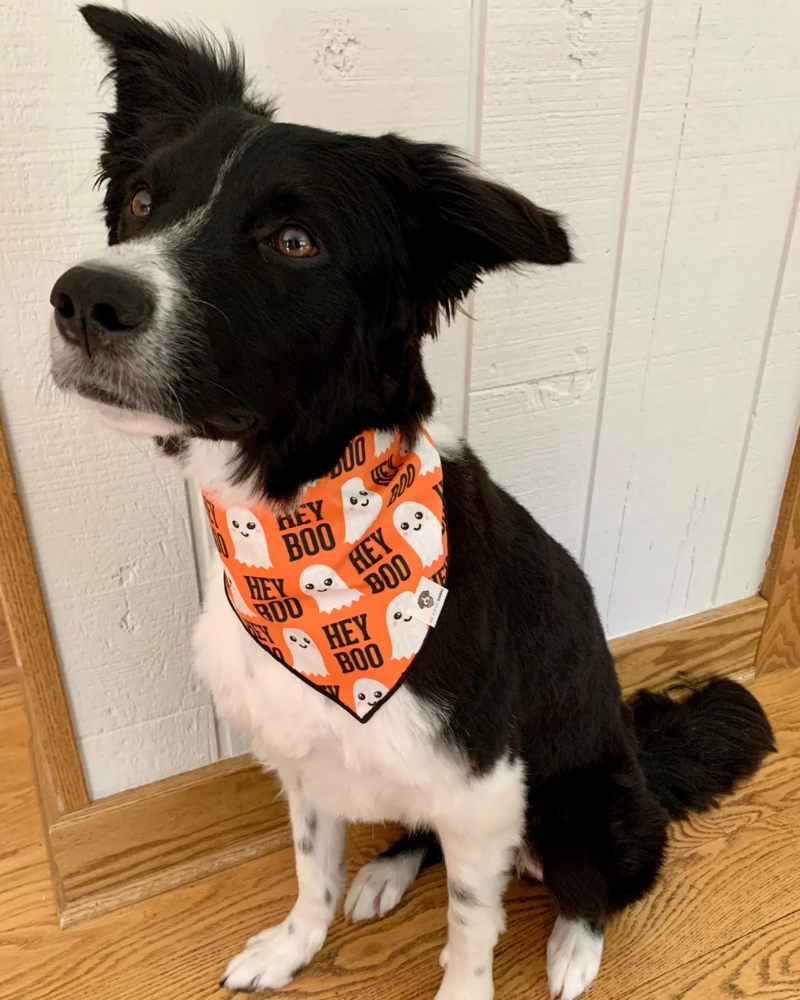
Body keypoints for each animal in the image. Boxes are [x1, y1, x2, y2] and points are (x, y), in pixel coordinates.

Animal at [50, 9, 776, 1000]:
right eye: (140, 203)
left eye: (294, 242)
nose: (86, 298)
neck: (300, 527)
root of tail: (641, 755)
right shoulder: (305, 763)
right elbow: (311, 871)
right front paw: (293, 947)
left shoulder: (484, 788)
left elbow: (471, 927)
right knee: (418, 835)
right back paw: (388, 871)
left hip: (584, 807)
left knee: (598, 884)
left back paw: (573, 947)